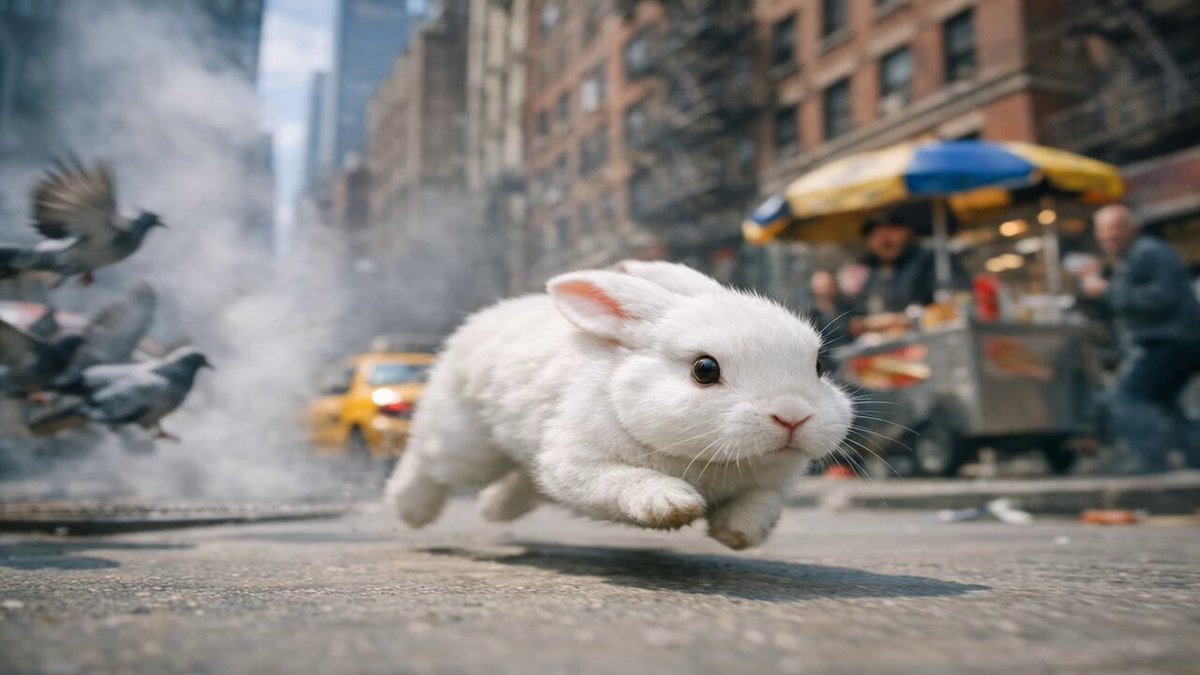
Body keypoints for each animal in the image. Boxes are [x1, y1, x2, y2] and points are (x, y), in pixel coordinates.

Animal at [384, 260, 854, 549]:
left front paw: (737, 535)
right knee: (427, 460)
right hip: (466, 441)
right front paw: (672, 504)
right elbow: (625, 481)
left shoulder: (772, 485)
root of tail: (479, 322)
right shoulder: (578, 463)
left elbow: (761, 505)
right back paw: (410, 512)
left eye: (817, 364)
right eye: (704, 369)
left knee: (522, 478)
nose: (793, 416)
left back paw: (493, 510)